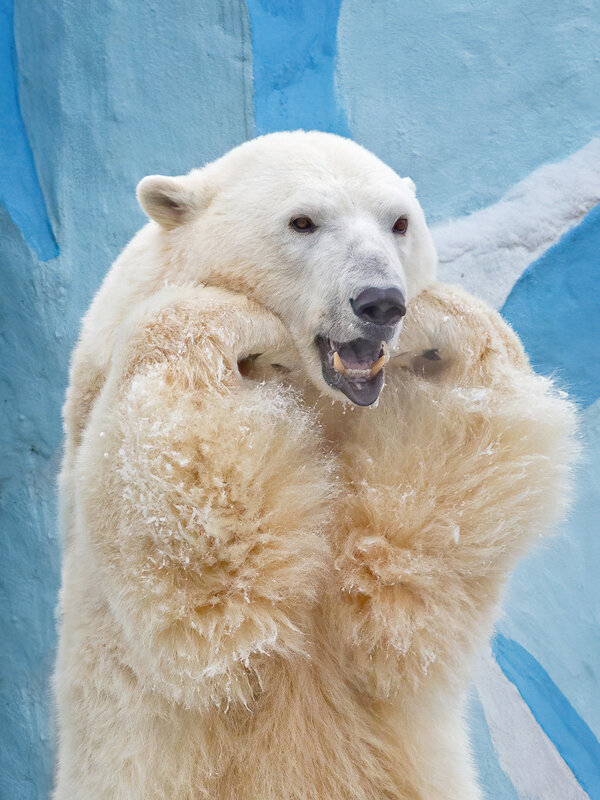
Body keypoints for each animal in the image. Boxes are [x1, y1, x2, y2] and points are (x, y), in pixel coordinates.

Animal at [55, 130, 576, 792]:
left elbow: (408, 587)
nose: (381, 302)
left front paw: (441, 320)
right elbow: (212, 594)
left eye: (399, 221)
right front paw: (239, 322)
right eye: (302, 221)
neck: (320, 396)